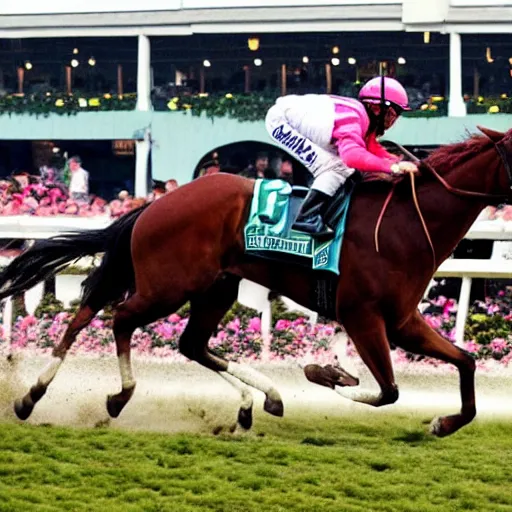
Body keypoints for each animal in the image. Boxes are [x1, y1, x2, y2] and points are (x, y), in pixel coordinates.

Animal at [1, 125, 512, 436]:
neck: (407, 222)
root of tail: (156, 203)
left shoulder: (402, 322)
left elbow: (465, 363)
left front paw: (445, 423)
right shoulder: (363, 316)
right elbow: (388, 391)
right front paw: (323, 372)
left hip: (214, 286)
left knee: (180, 340)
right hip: (170, 285)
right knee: (120, 318)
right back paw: (100, 397)